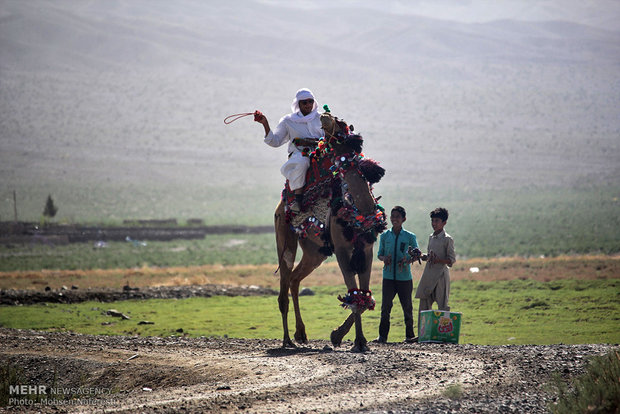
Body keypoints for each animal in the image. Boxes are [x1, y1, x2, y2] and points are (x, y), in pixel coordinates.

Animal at [274, 110, 386, 352]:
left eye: (342, 123)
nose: (325, 116)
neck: (359, 210)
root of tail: (281, 206)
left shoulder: (367, 249)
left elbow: (364, 296)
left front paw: (341, 336)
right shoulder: (343, 249)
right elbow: (354, 295)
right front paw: (355, 340)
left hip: (315, 252)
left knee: (295, 279)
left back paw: (301, 334)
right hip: (285, 236)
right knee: (284, 285)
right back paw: (287, 340)